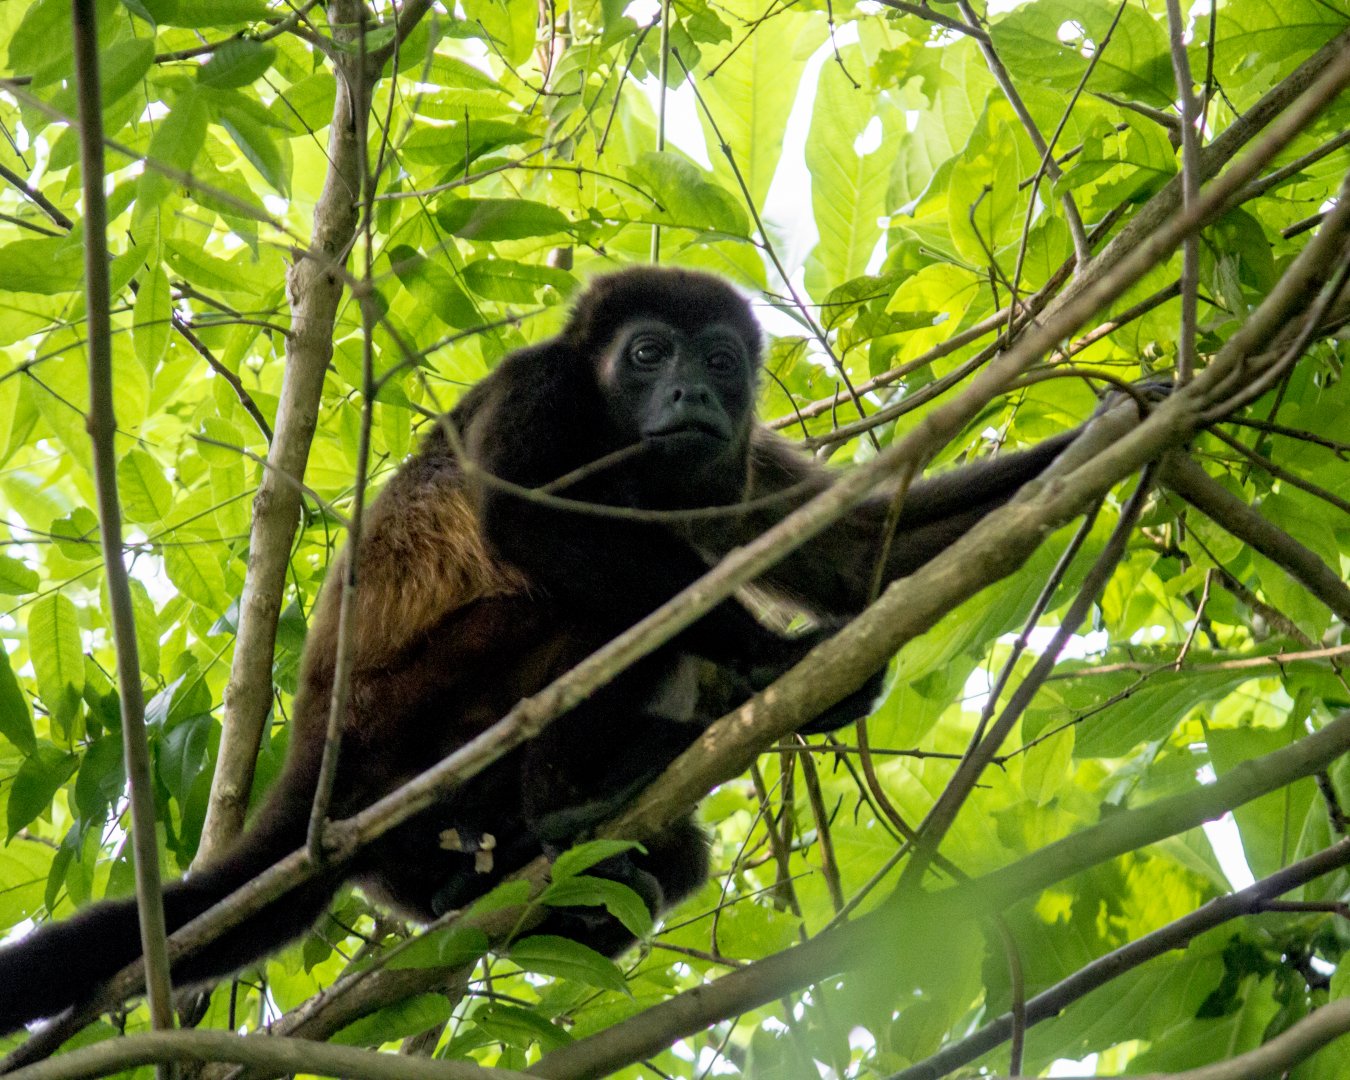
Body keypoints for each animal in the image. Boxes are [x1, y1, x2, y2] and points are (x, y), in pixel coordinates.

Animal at [0, 267, 1089, 1035]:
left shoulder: (731, 457)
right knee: (589, 607)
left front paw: (1116, 427)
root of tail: (317, 768)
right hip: (431, 714)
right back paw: (570, 794)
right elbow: (529, 521)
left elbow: (864, 554)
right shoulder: (546, 384)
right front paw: (777, 662)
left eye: (719, 361)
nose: (691, 391)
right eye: (648, 353)